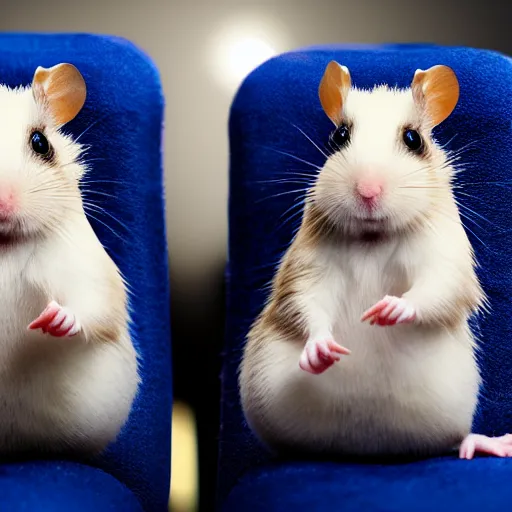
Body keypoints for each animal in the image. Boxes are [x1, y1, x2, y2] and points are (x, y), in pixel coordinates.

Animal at [0, 63, 138, 456]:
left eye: (40, 143)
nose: (3, 203)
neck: (4, 245)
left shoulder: (86, 269)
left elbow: (89, 305)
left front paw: (52, 321)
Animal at [240, 60, 512, 460]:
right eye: (339, 136)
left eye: (414, 139)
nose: (368, 191)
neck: (372, 237)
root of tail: (368, 448)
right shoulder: (309, 267)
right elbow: (308, 303)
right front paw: (320, 351)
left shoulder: (445, 257)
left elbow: (436, 287)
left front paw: (389, 310)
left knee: (456, 439)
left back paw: (489, 443)